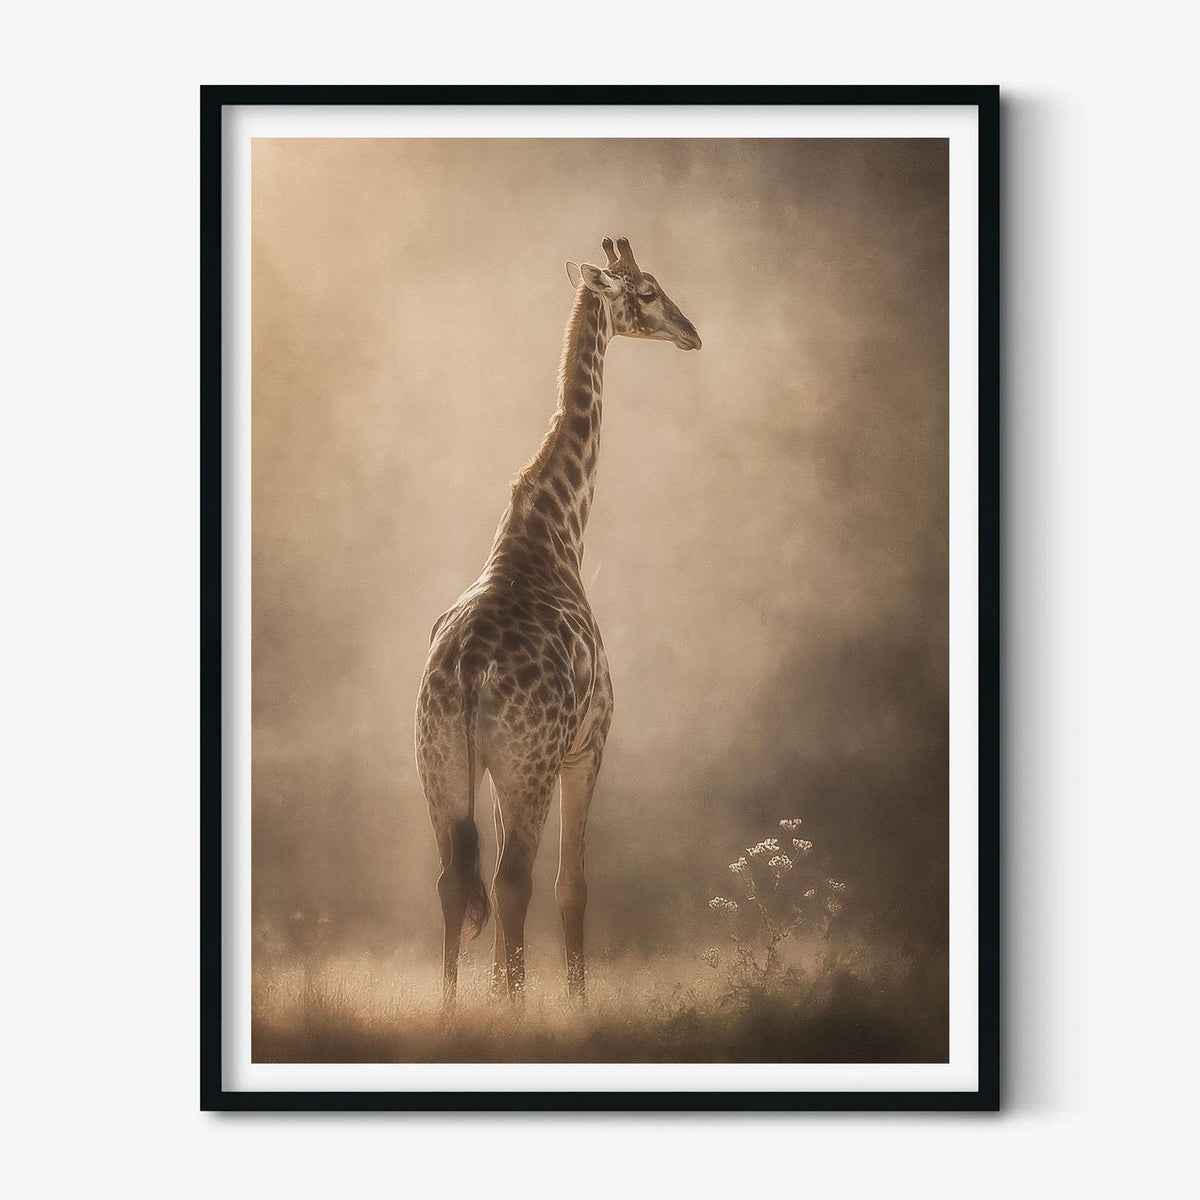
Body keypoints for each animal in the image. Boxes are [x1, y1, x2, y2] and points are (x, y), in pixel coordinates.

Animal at [415, 237, 701, 1007]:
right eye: (649, 291)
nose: (692, 333)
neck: (556, 530)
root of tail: (470, 672)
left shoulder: (501, 765)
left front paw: (496, 993)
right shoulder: (588, 743)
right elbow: (572, 886)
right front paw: (575, 1001)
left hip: (441, 759)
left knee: (454, 881)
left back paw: (452, 1009)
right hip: (528, 761)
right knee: (513, 880)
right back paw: (515, 1011)